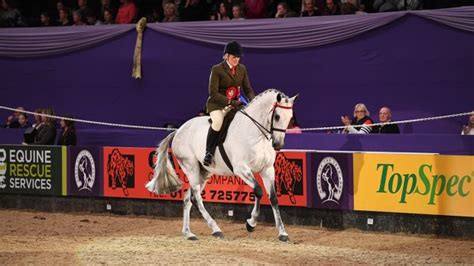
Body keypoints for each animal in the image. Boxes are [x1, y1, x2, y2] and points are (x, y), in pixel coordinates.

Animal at [146, 89, 298, 241]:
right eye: (277, 116)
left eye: (290, 118)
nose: (278, 144)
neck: (256, 135)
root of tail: (178, 130)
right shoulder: (241, 169)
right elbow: (258, 191)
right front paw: (251, 223)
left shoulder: (267, 170)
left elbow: (273, 198)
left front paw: (282, 233)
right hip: (191, 167)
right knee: (196, 198)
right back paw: (215, 229)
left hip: (204, 172)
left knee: (188, 199)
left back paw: (188, 233)